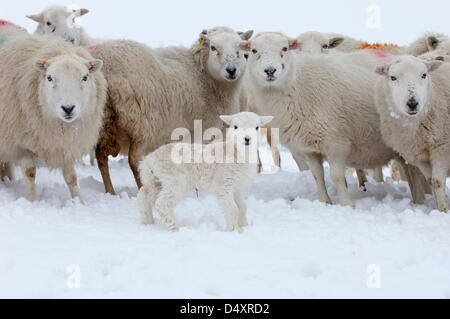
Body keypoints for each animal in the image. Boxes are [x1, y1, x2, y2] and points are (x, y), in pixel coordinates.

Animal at [0, 33, 107, 202]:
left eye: (85, 77)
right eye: (49, 78)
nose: (68, 108)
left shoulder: (64, 144)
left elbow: (72, 177)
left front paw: (79, 201)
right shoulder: (21, 144)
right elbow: (30, 173)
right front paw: (31, 201)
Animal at [87, 26, 250, 195]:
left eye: (242, 49)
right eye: (213, 47)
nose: (231, 70)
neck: (203, 75)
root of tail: (106, 70)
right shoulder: (197, 129)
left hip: (101, 123)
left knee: (101, 157)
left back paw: (110, 191)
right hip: (142, 123)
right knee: (134, 160)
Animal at [137, 112, 272, 232]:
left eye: (257, 127)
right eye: (235, 126)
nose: (247, 139)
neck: (235, 152)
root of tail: (149, 159)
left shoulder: (236, 186)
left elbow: (243, 207)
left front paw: (244, 226)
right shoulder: (224, 185)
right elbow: (233, 209)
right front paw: (234, 231)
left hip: (156, 179)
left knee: (144, 194)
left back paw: (147, 222)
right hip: (175, 181)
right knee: (162, 204)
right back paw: (177, 228)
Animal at [243, 32, 398, 208]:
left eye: (285, 48)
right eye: (254, 50)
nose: (270, 70)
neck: (297, 86)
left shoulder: (336, 143)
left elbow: (336, 176)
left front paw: (347, 204)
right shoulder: (308, 146)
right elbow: (317, 175)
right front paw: (325, 202)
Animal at [374, 56, 448, 214]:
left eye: (424, 75)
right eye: (393, 77)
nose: (412, 103)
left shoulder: (442, 147)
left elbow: (438, 182)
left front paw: (444, 211)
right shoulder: (417, 155)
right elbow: (431, 181)